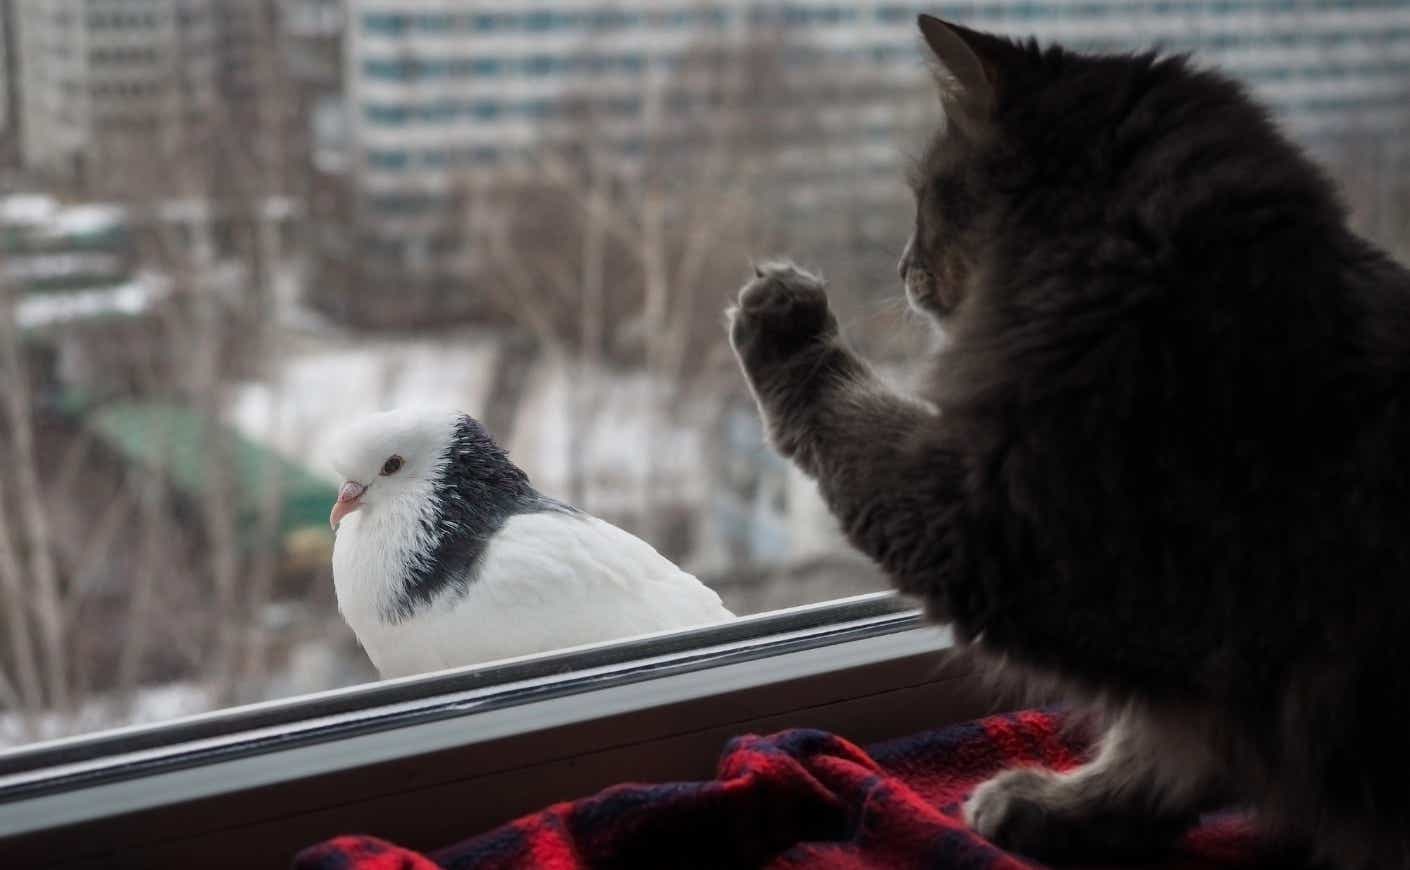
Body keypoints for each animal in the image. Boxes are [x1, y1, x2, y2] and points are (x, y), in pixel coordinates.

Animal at [727, 13, 1410, 868]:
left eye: (927, 198)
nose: (903, 264)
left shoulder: (989, 515)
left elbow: (847, 412)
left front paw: (786, 320)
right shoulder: (1202, 681)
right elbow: (1157, 753)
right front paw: (1063, 810)